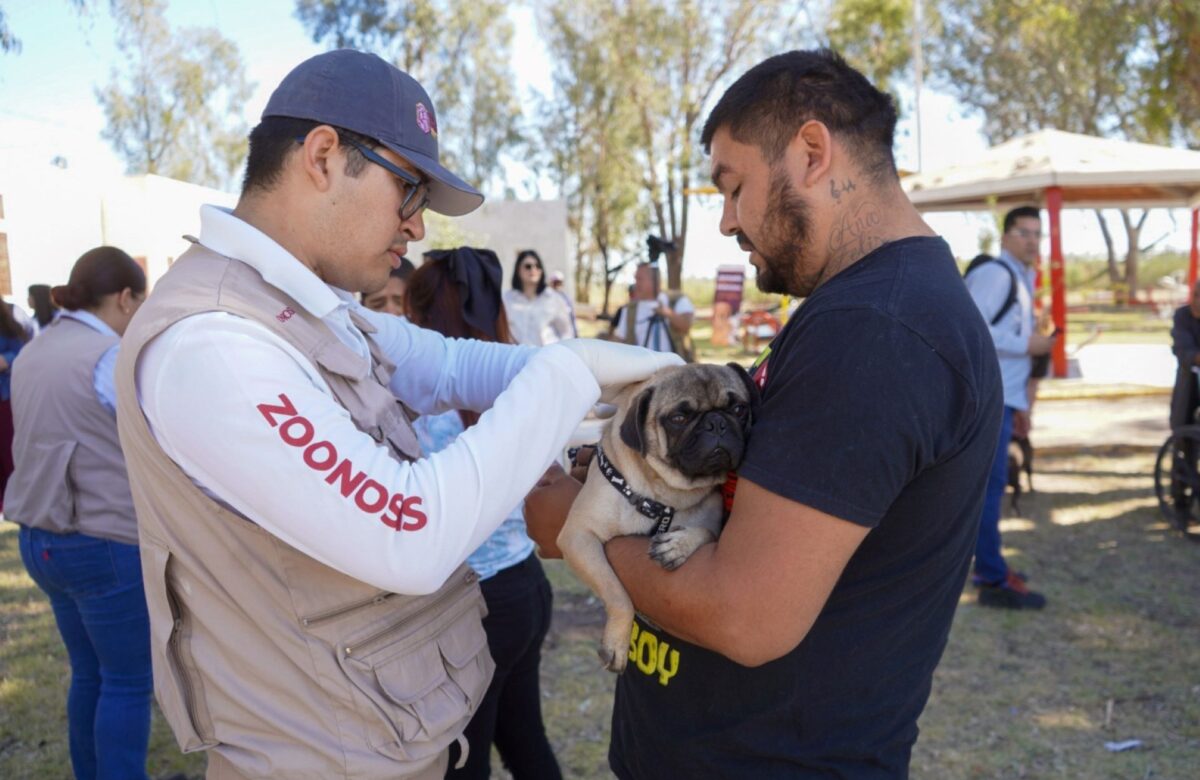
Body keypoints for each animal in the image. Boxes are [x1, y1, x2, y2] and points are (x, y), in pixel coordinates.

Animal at [554, 357, 758, 667]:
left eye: (738, 409)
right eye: (679, 418)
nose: (717, 423)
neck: (664, 494)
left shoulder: (712, 523)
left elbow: (705, 532)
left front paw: (677, 545)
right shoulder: (579, 537)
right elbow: (617, 595)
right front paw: (617, 641)